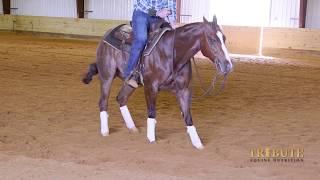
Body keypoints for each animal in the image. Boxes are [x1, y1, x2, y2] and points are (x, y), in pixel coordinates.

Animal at [82, 16, 232, 149]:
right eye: (212, 39)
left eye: (224, 38)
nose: (228, 65)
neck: (172, 54)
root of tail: (107, 34)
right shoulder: (151, 87)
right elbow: (152, 112)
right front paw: (151, 138)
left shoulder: (183, 90)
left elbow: (188, 116)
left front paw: (197, 143)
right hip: (106, 76)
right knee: (103, 102)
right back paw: (105, 131)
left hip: (130, 83)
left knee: (121, 98)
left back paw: (132, 128)